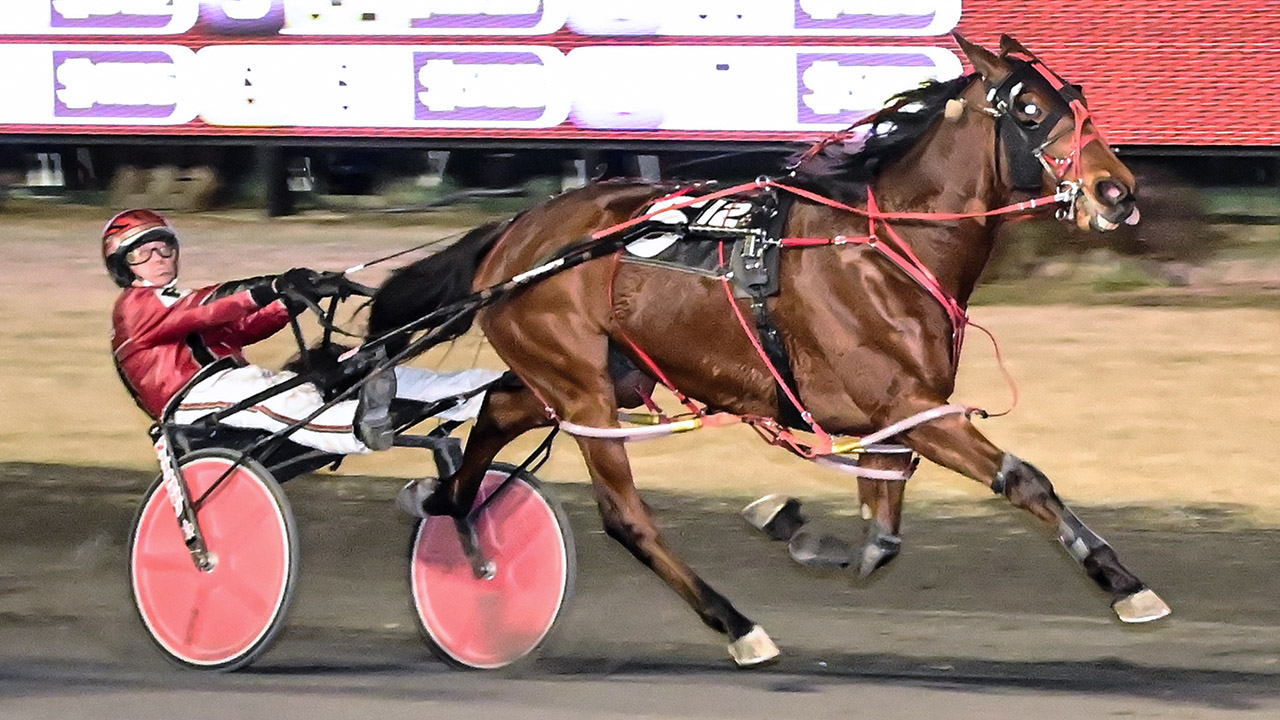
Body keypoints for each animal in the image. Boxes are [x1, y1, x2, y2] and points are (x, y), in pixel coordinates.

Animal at [368, 34, 1169, 666]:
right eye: (1030, 111)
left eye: (1078, 98)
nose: (1118, 191)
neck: (883, 247)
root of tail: (511, 237)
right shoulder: (908, 406)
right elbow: (1023, 478)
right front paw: (1125, 584)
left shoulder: (896, 422)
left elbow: (880, 540)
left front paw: (789, 524)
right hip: (581, 389)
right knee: (625, 517)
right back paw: (737, 625)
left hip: (598, 375)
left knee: (499, 411)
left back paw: (449, 505)